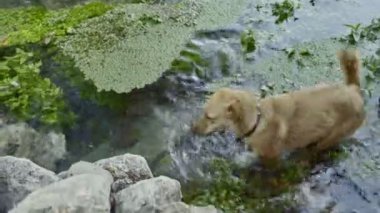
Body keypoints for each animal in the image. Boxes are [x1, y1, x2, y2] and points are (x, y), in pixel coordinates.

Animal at [193, 50, 366, 160]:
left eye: (209, 117)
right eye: (202, 112)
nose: (192, 130)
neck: (257, 120)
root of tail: (353, 89)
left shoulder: (269, 157)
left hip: (330, 138)